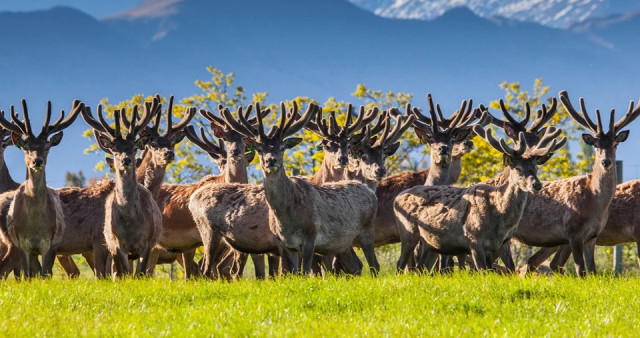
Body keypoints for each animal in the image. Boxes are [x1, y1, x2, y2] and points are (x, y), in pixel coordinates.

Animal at [0, 98, 83, 278]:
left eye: (47, 147)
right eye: (25, 147)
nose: (37, 161)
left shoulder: (49, 244)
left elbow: (44, 274)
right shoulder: (22, 244)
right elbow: (27, 274)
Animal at [80, 101, 162, 276]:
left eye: (134, 148)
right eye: (115, 149)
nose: (126, 160)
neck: (130, 222)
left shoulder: (147, 242)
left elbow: (140, 273)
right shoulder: (118, 244)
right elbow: (124, 272)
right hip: (109, 244)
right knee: (115, 271)